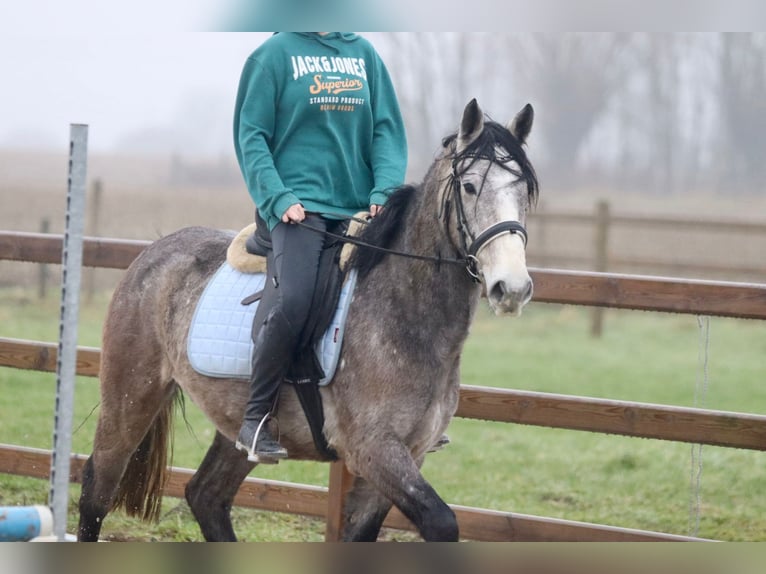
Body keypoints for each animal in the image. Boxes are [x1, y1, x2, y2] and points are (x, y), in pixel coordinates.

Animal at [76, 100, 540, 544]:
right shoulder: (375, 450)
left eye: (524, 193)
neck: (405, 313)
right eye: (470, 186)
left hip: (240, 424)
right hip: (130, 397)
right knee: (97, 490)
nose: (512, 287)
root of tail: (154, 252)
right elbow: (442, 523)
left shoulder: (408, 455)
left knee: (205, 495)